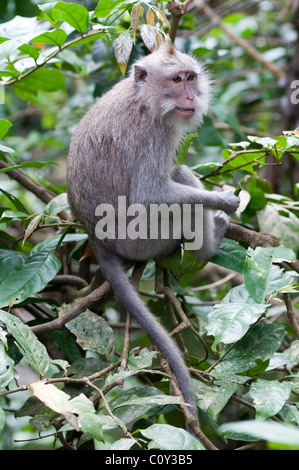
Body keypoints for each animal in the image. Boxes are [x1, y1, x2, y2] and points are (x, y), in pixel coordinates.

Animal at [67, 42, 240, 436]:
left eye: (190, 77)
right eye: (176, 80)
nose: (191, 95)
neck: (144, 98)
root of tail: (98, 240)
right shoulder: (151, 135)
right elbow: (150, 194)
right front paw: (224, 199)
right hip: (147, 237)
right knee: (179, 180)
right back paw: (210, 244)